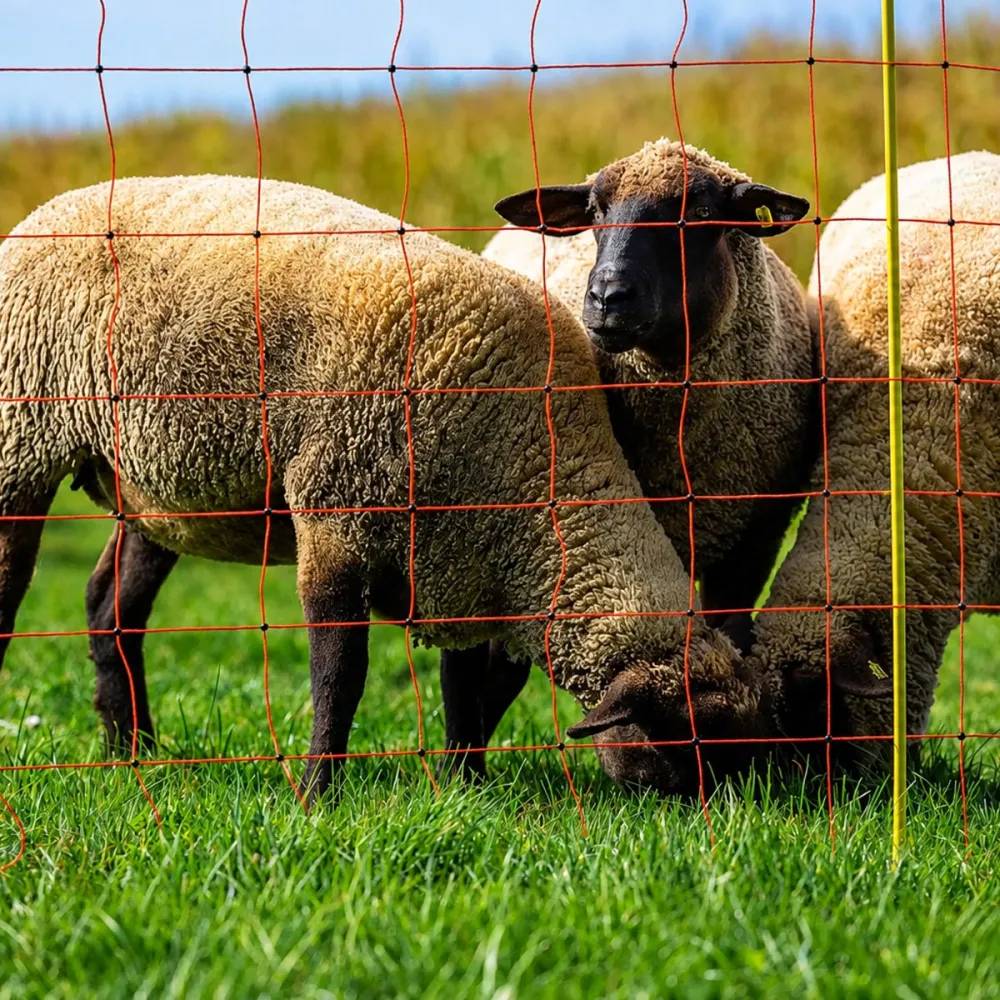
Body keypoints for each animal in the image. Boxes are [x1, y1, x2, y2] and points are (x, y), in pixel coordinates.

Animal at [0, 174, 754, 798]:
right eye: (687, 744)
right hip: (21, 439)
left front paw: (466, 787)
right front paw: (316, 795)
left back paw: (133, 751)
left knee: (112, 606)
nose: (729, 817)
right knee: (15, 592)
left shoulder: (464, 558)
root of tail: (53, 205)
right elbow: (342, 674)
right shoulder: (339, 518)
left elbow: (464, 690)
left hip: (155, 490)